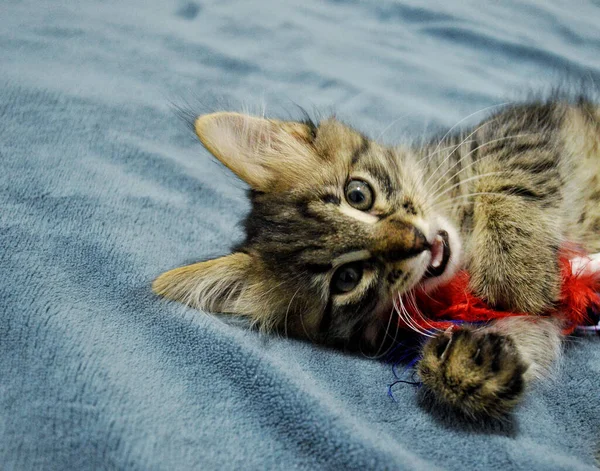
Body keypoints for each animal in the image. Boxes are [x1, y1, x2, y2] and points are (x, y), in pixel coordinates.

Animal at [154, 100, 600, 420]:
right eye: (347, 278)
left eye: (358, 194)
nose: (417, 242)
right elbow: (530, 326)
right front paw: (471, 364)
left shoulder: (520, 131)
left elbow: (508, 177)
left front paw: (518, 269)